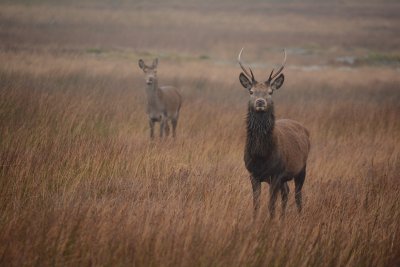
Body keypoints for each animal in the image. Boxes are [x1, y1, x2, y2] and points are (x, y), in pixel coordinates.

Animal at [238, 49, 310, 220]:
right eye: (251, 91)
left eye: (270, 92)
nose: (260, 102)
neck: (261, 155)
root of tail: (305, 130)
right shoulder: (253, 174)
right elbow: (256, 204)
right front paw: (256, 221)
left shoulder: (277, 173)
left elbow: (271, 205)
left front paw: (270, 223)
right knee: (286, 193)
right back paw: (282, 219)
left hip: (302, 168)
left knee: (298, 195)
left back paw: (299, 217)